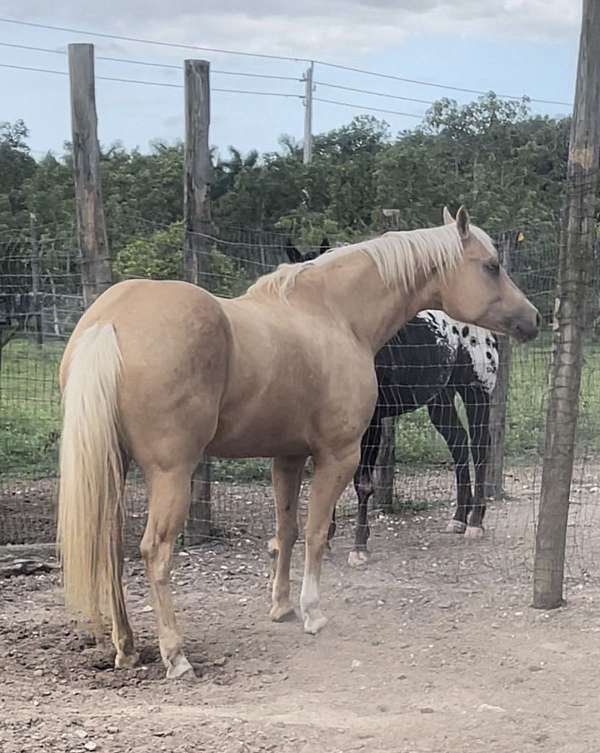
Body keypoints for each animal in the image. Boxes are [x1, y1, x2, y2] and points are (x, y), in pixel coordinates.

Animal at [57, 206, 539, 680]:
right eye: (491, 266)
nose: (533, 319)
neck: (334, 314)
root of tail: (110, 322)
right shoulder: (338, 455)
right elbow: (316, 531)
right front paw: (312, 612)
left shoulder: (287, 457)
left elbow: (286, 530)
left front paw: (282, 606)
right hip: (172, 473)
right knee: (154, 552)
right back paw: (175, 654)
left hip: (115, 466)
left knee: (110, 547)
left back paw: (126, 647)